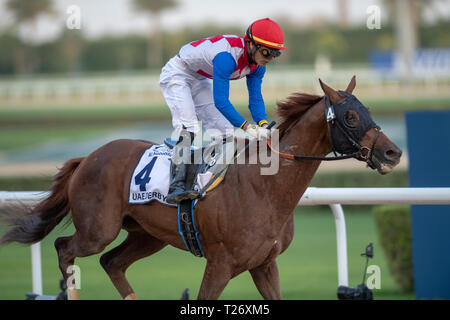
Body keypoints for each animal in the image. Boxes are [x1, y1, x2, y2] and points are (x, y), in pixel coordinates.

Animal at [0, 77, 400, 300]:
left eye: (367, 109)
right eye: (350, 116)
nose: (392, 152)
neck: (265, 188)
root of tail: (88, 157)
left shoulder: (264, 264)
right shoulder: (220, 264)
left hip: (148, 236)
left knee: (111, 262)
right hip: (98, 229)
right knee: (65, 248)